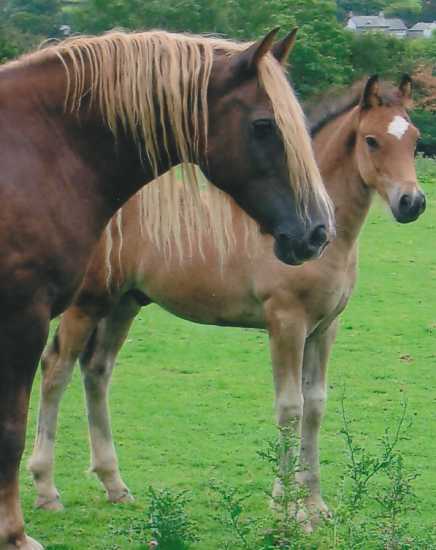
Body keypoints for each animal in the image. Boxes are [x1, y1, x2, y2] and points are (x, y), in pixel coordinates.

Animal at [0, 29, 334, 550]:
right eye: (263, 126)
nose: (317, 232)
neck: (42, 150)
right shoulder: (22, 315)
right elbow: (10, 429)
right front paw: (14, 533)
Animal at [29, 74, 426, 532]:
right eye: (371, 140)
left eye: (414, 138)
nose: (412, 203)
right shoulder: (286, 322)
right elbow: (290, 407)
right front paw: (286, 507)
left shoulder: (325, 328)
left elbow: (315, 406)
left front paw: (315, 505)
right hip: (87, 303)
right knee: (56, 369)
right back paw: (46, 489)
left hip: (124, 303)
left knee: (96, 371)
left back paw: (114, 484)